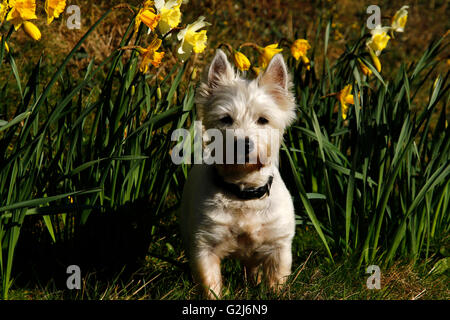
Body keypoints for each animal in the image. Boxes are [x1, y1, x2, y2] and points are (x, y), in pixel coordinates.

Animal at [178, 48, 298, 298]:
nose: (243, 144)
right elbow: (210, 283)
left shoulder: (279, 246)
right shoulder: (204, 246)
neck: (244, 192)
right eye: (225, 119)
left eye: (263, 119)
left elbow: (276, 279)